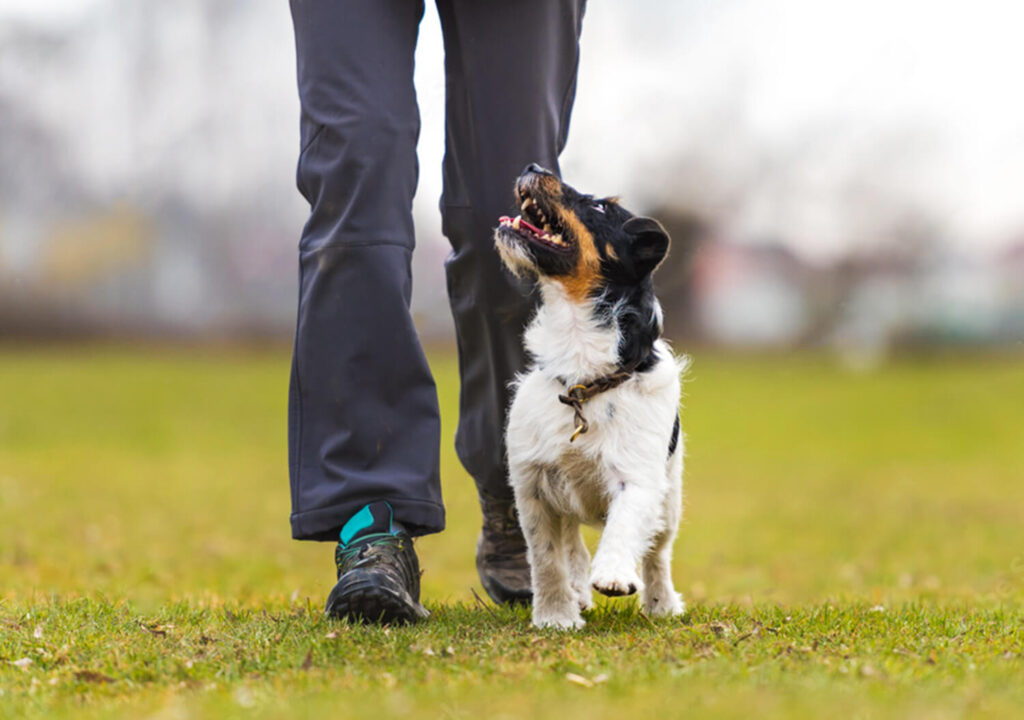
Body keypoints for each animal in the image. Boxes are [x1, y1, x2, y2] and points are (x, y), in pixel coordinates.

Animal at [495, 164, 688, 630]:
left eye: (600, 207)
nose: (533, 167)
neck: (583, 378)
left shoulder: (638, 477)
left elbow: (625, 526)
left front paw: (614, 574)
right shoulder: (532, 486)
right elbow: (547, 560)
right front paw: (555, 616)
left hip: (670, 497)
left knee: (658, 554)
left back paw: (661, 604)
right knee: (572, 546)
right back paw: (579, 592)